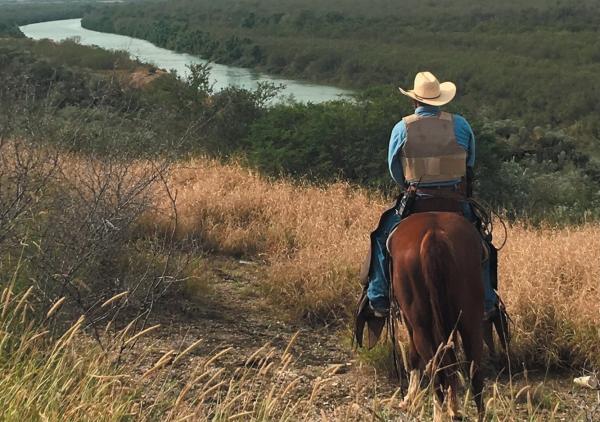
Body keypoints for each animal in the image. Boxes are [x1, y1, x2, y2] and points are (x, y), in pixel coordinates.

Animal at [390, 213, 488, 420]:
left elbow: (413, 356)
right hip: (471, 321)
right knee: (473, 370)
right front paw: (454, 406)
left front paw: (410, 398)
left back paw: (438, 414)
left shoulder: (409, 322)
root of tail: (433, 235)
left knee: (435, 368)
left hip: (421, 325)